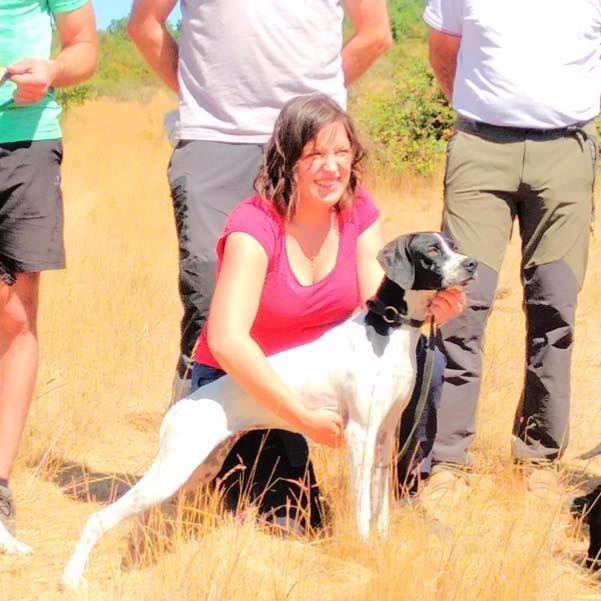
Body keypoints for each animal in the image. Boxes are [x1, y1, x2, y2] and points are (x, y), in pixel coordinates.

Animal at [58, 232, 476, 588]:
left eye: (453, 245)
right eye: (432, 250)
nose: (472, 264)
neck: (388, 330)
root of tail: (180, 408)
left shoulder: (386, 435)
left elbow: (381, 504)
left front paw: (384, 541)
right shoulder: (360, 433)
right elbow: (362, 506)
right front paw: (365, 548)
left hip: (195, 470)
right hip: (173, 470)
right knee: (99, 519)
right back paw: (72, 579)